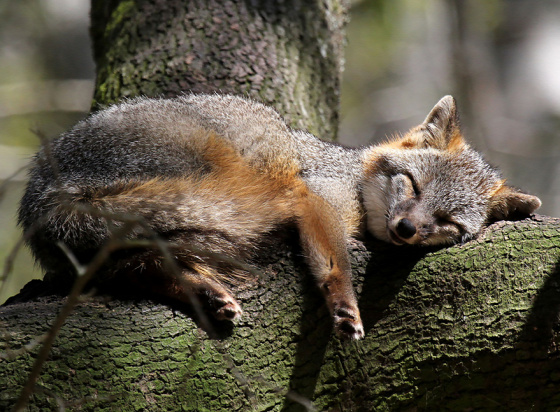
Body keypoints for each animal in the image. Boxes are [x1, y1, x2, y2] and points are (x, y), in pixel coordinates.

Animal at [18, 95, 544, 340]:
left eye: (447, 223)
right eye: (412, 185)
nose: (406, 229)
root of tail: (40, 191)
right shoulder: (315, 195)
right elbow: (333, 263)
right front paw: (344, 304)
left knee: (139, 265)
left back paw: (203, 292)